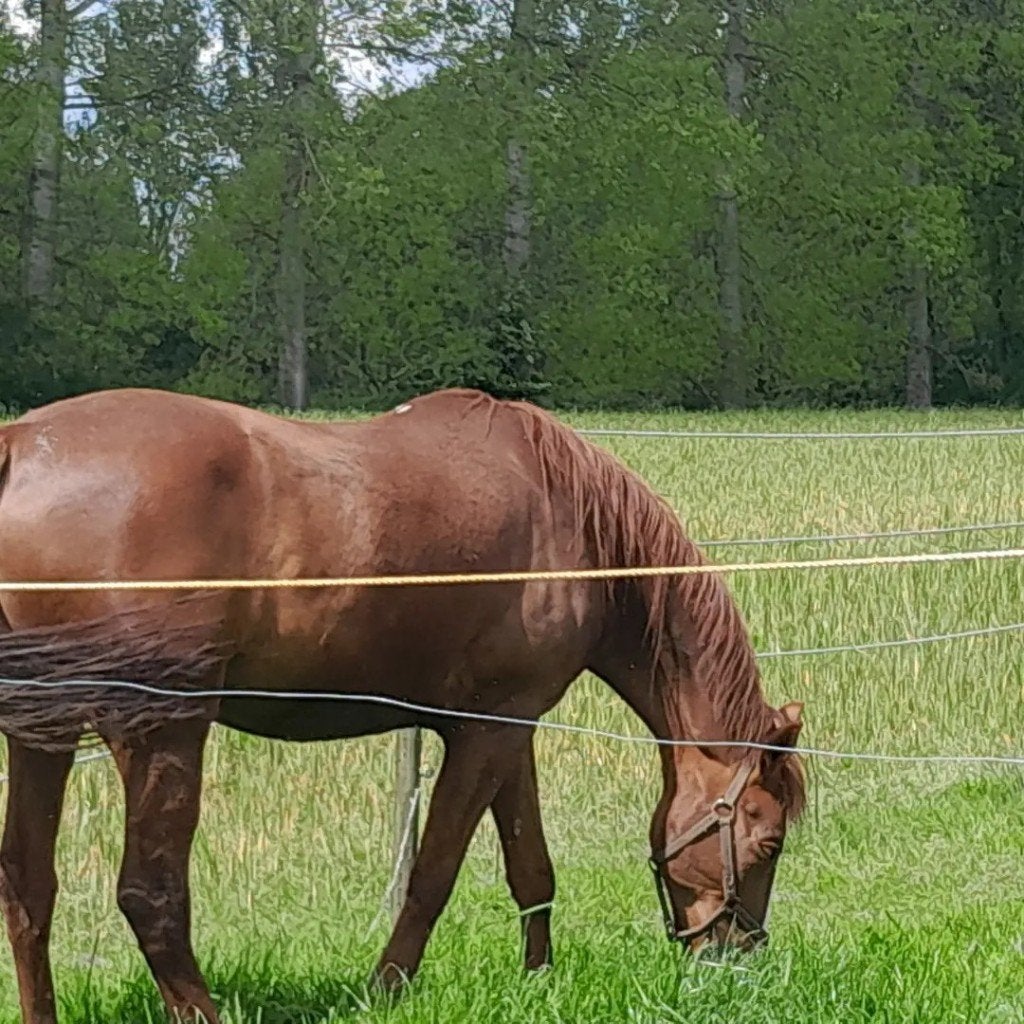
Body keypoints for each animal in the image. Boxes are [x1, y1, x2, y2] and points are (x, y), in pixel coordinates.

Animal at [0, 387, 806, 1024]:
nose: (735, 957)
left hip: (45, 734)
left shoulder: (508, 727)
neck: (570, 521)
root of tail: (19, 447)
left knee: (29, 886)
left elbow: (531, 867)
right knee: (151, 894)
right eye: (767, 840)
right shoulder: (484, 734)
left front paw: (537, 980)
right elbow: (433, 874)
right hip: (163, 731)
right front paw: (385, 988)